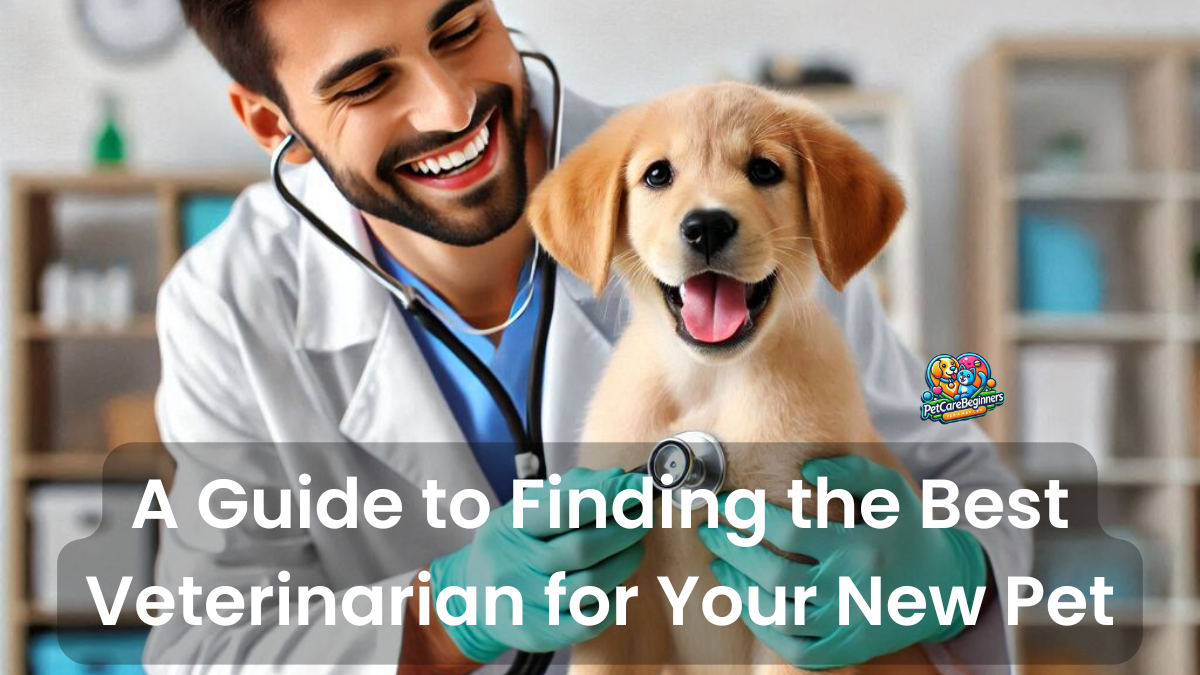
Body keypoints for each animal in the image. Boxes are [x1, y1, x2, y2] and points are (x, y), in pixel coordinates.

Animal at [530, 82, 931, 672]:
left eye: (764, 170)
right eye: (657, 174)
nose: (707, 226)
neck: (708, 384)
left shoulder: (794, 592)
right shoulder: (620, 598)